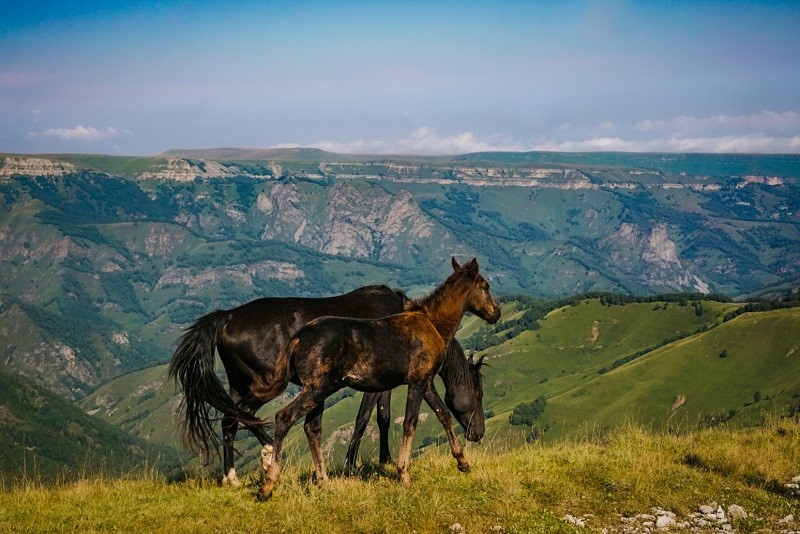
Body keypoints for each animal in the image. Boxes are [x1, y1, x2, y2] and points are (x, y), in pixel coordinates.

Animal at [166, 286, 484, 488]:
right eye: (479, 394)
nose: (478, 433)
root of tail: (227, 316)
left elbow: (381, 416)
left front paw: (379, 460)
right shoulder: (380, 383)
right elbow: (368, 417)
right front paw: (357, 464)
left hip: (239, 385)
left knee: (231, 419)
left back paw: (231, 477)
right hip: (263, 384)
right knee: (242, 417)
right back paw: (266, 456)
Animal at [252, 260, 500, 502]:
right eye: (485, 286)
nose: (495, 313)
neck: (430, 324)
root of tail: (299, 338)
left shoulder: (426, 382)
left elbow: (443, 414)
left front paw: (462, 462)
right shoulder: (418, 382)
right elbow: (410, 422)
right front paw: (403, 474)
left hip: (318, 391)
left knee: (311, 429)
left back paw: (324, 482)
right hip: (316, 389)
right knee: (284, 417)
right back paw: (267, 486)